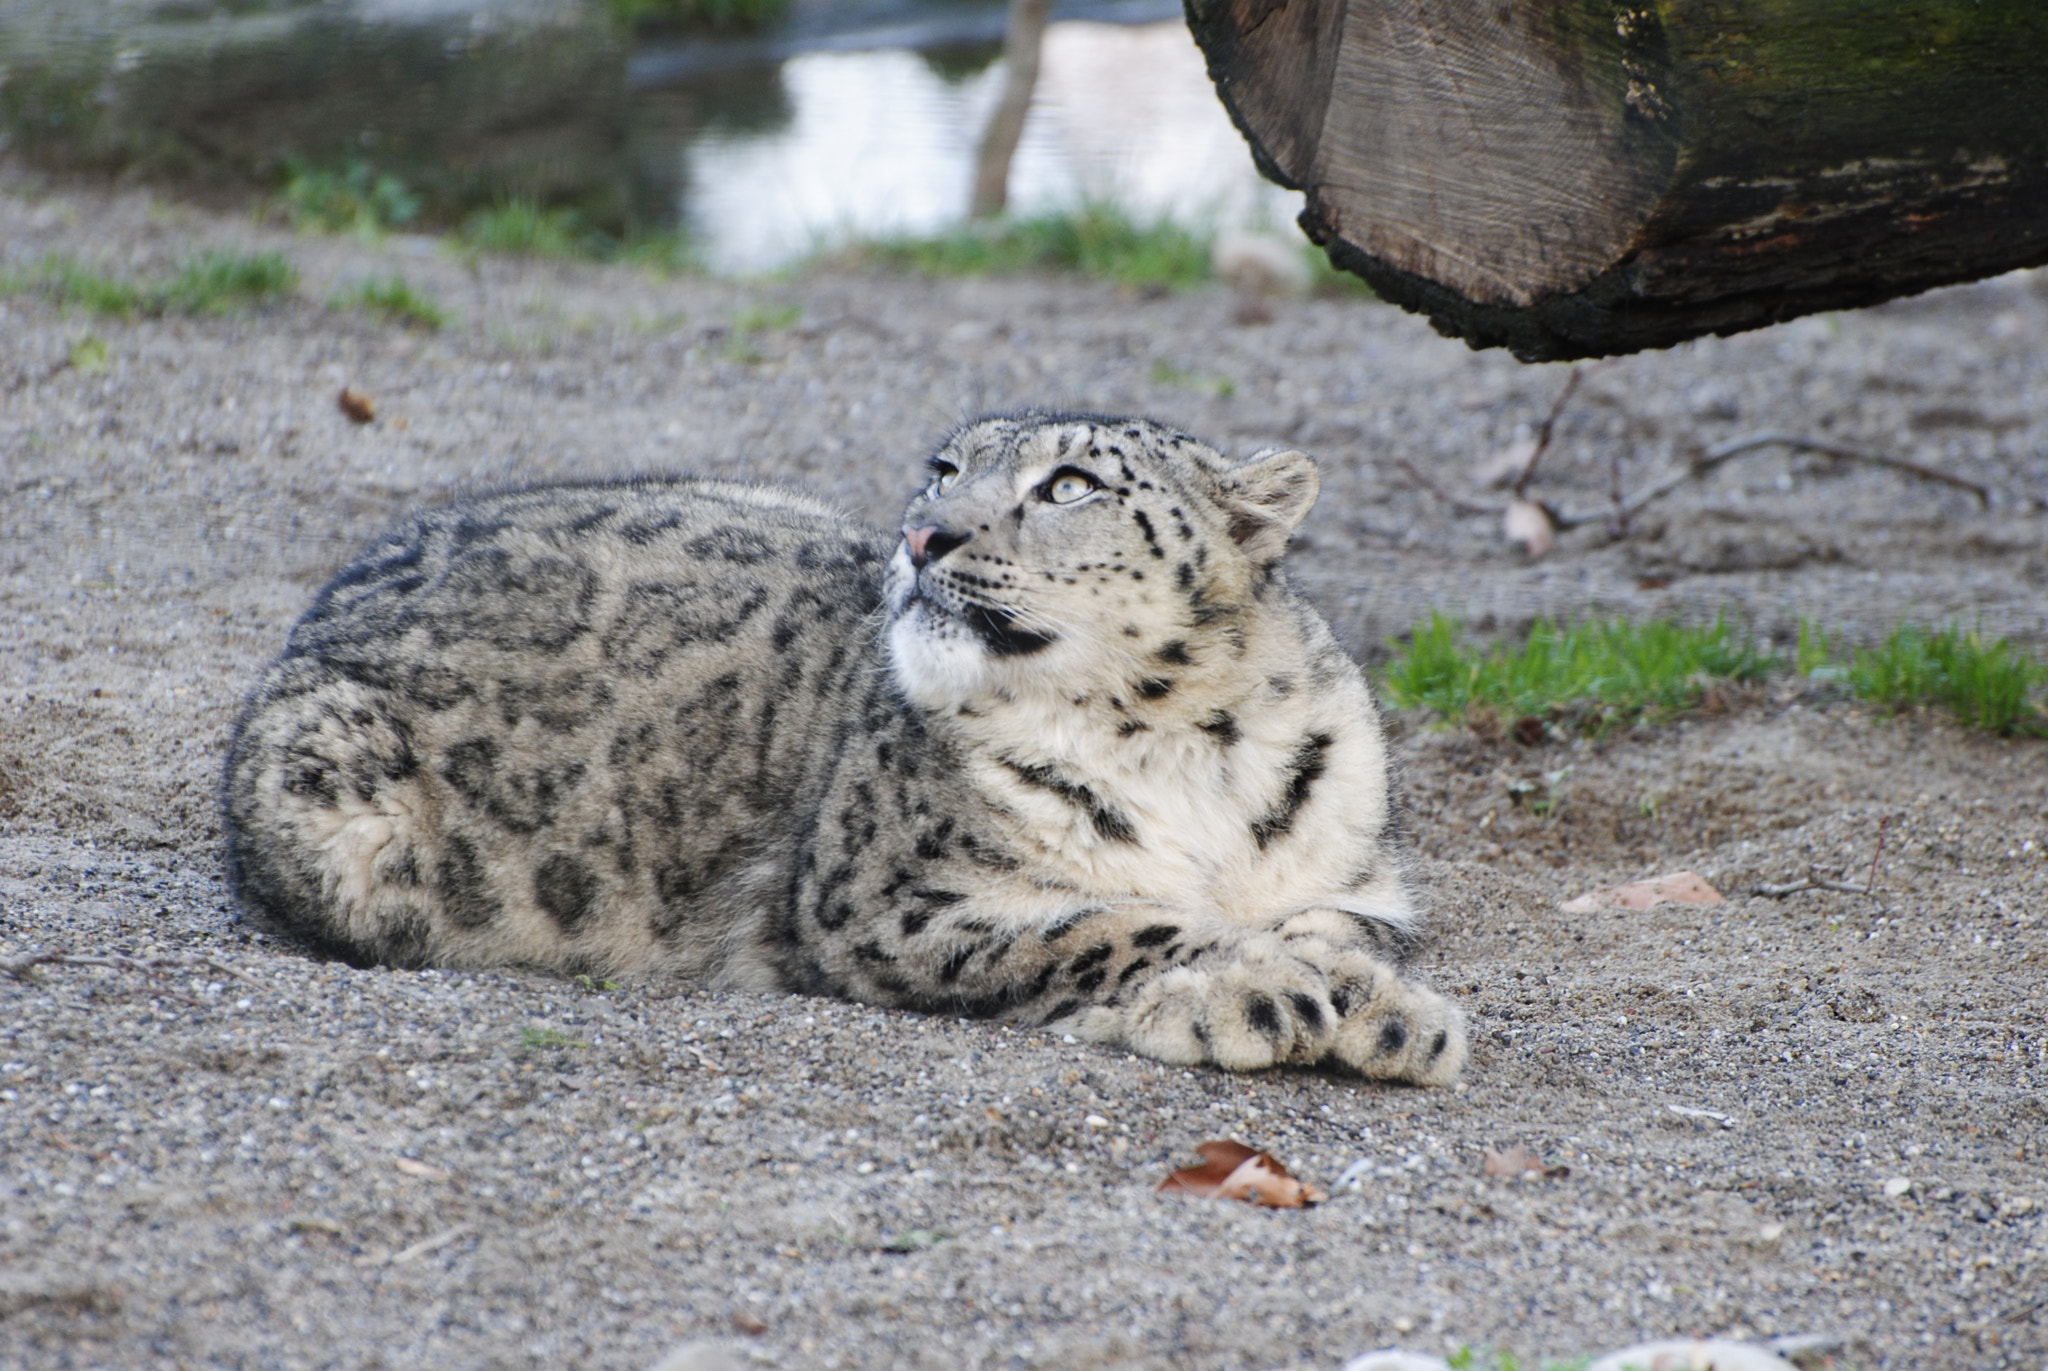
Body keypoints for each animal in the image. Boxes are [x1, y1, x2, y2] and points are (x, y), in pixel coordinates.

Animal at [223, 412, 1467, 1084]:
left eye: (1070, 484)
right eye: (944, 469)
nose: (922, 535)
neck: (1183, 755)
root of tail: (328, 595)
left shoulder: (1349, 880)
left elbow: (1333, 933)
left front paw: (1388, 1013)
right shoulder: (885, 897)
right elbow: (1112, 924)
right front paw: (1254, 993)